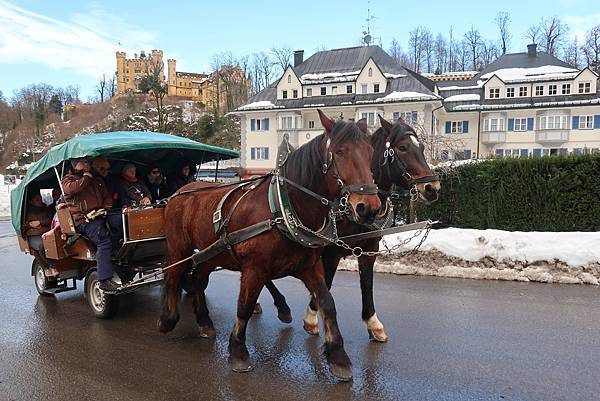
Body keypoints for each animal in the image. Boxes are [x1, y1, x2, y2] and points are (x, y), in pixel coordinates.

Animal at [161, 109, 380, 378]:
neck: (283, 208)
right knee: (173, 274)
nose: (369, 207)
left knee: (199, 279)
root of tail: (181, 191)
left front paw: (338, 355)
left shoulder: (309, 266)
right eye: (340, 151)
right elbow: (244, 306)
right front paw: (238, 351)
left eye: (370, 151)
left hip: (211, 252)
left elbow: (327, 302)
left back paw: (204, 321)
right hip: (178, 246)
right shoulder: (254, 269)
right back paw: (168, 318)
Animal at [262, 115, 440, 340]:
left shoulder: (369, 248)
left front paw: (373, 323)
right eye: (402, 148)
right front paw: (311, 318)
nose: (433, 188)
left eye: (422, 147)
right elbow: (327, 282)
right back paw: (280, 306)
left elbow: (367, 282)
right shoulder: (331, 252)